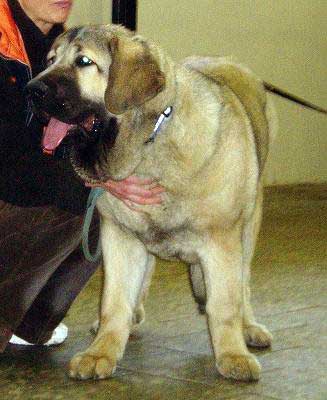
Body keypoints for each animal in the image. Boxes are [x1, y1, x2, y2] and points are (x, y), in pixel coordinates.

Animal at [26, 24, 276, 382]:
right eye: (50, 60)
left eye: (84, 61)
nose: (31, 90)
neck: (149, 141)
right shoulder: (120, 237)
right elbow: (115, 300)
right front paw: (102, 351)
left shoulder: (221, 242)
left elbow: (224, 304)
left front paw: (232, 354)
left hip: (249, 225)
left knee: (243, 284)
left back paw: (250, 328)